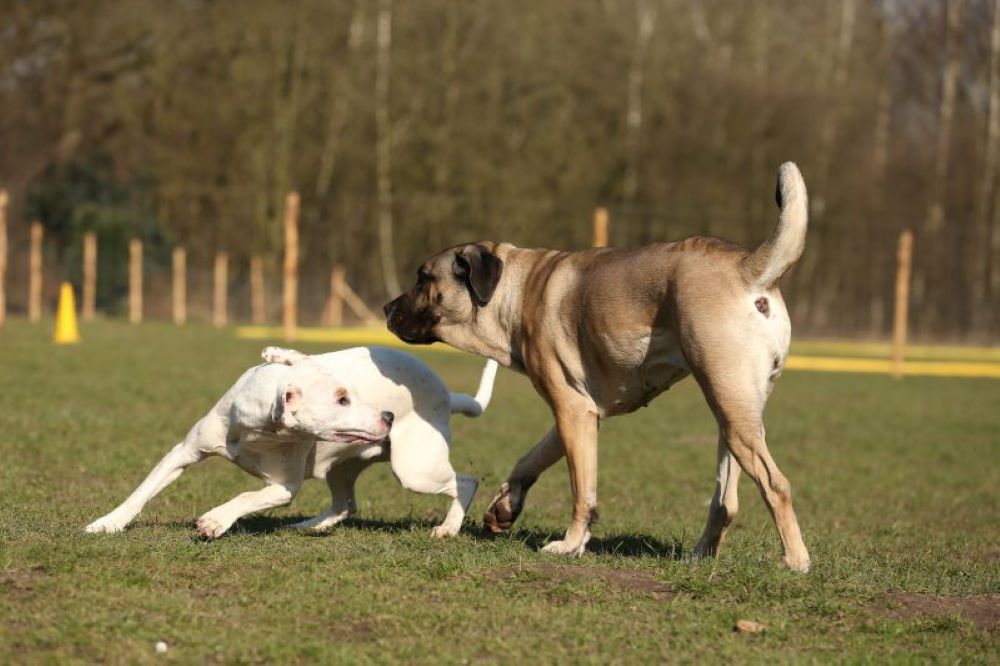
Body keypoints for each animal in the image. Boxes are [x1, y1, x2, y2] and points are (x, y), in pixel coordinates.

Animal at [84, 344, 498, 536]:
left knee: (466, 482)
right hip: (343, 467)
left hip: (415, 470)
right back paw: (308, 526)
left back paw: (449, 528)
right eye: (342, 398)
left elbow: (244, 497)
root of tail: (448, 396)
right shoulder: (184, 453)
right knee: (345, 504)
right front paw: (107, 524)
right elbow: (142, 493)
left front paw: (215, 521)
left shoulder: (283, 488)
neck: (259, 429)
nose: (388, 417)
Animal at [382, 162, 812, 572]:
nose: (386, 308)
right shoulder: (579, 413)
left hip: (731, 407)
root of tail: (746, 266)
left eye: (423, 279)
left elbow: (582, 493)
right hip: (734, 414)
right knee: (725, 503)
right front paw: (505, 506)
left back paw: (795, 561)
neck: (515, 292)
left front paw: (570, 544)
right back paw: (700, 555)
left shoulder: (571, 410)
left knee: (776, 484)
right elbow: (532, 458)